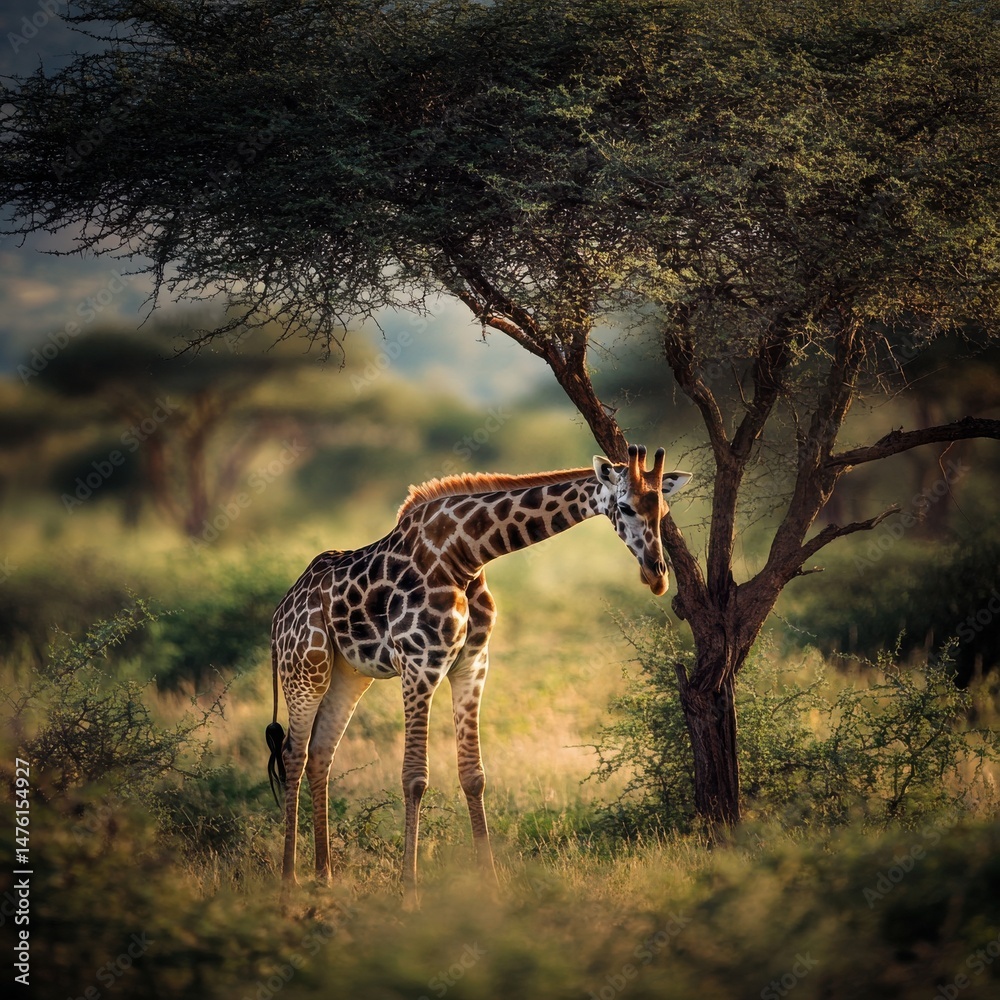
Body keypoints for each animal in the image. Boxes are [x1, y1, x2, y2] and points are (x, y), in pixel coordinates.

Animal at [266, 444, 691, 895]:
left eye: (663, 509)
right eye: (624, 507)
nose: (657, 576)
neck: (465, 555)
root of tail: (278, 616)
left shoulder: (471, 666)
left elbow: (474, 775)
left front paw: (491, 883)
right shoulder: (419, 665)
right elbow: (414, 777)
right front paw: (409, 889)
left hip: (348, 675)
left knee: (320, 755)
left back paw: (324, 876)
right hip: (304, 669)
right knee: (293, 754)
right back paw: (289, 880)